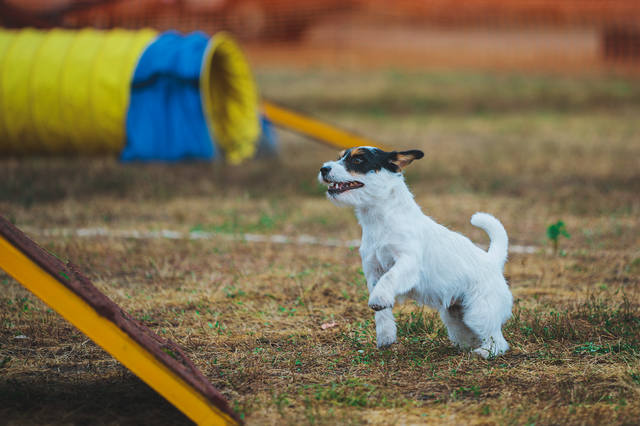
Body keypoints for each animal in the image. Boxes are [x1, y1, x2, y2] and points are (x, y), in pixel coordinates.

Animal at [320, 146, 516, 356]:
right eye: (340, 157)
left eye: (358, 160)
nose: (324, 169)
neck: (380, 220)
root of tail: (492, 261)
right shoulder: (373, 270)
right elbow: (381, 311)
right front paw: (385, 337)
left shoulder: (407, 262)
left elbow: (389, 279)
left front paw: (379, 300)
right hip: (454, 314)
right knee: (467, 335)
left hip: (479, 312)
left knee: (498, 340)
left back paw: (485, 352)